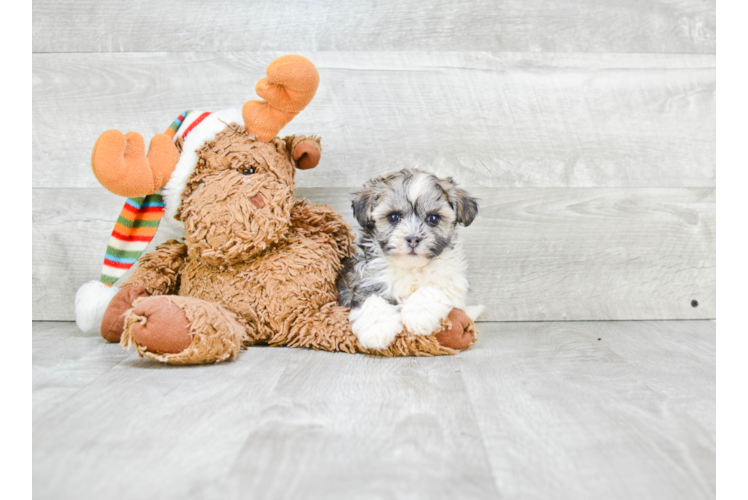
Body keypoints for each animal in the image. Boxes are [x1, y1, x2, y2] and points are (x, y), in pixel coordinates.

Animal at [338, 168, 482, 348]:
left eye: (433, 218)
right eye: (393, 217)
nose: (413, 239)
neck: (411, 267)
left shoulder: (452, 280)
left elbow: (432, 288)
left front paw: (419, 315)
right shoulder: (365, 275)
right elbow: (371, 296)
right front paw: (377, 328)